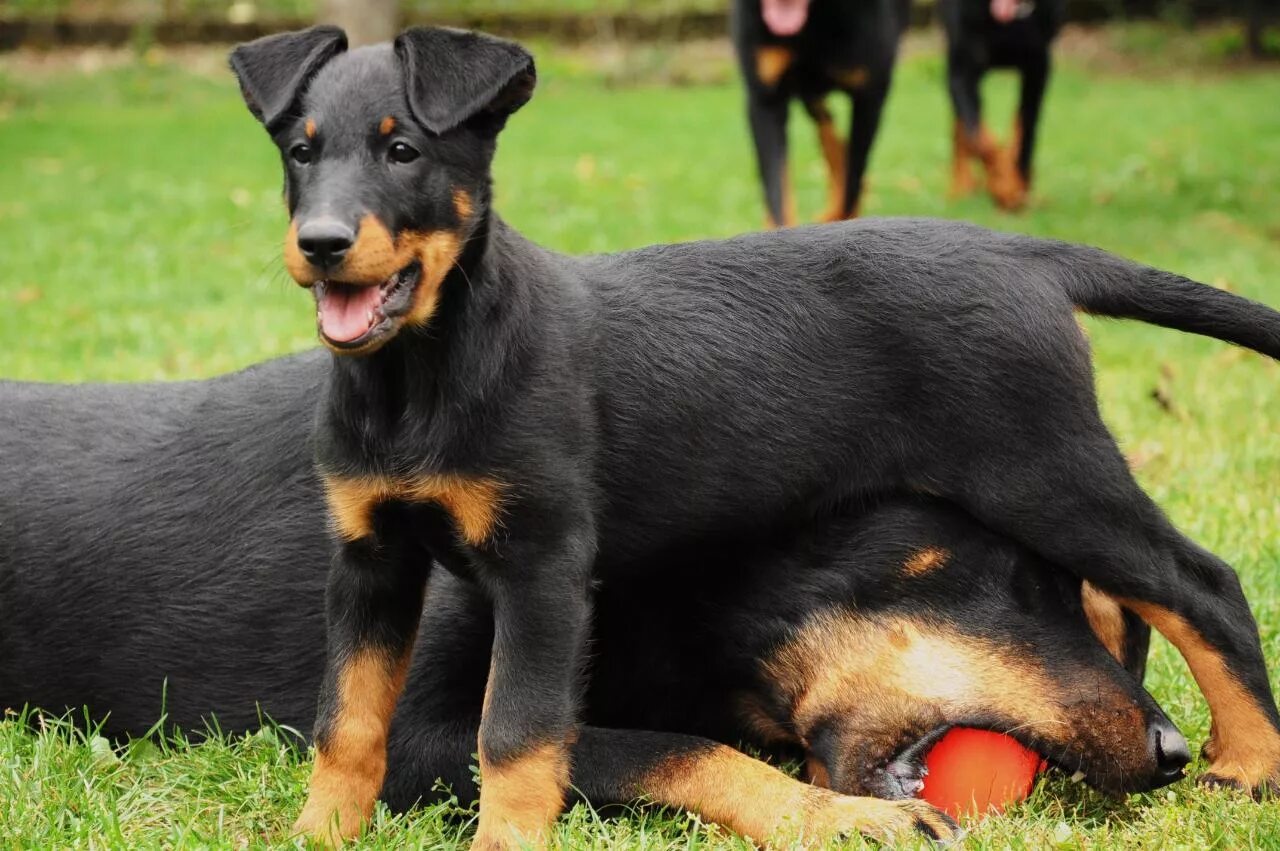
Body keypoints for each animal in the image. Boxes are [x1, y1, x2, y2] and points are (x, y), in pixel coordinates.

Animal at [222, 26, 1280, 849]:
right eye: (299, 153)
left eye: (404, 152)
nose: (320, 244)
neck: (418, 379)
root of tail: (1019, 251)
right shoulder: (371, 555)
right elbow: (350, 718)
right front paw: (319, 832)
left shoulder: (542, 564)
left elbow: (517, 735)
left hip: (1042, 467)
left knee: (1201, 584)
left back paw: (1246, 762)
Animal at [936, 0, 1064, 208]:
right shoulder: (961, 70)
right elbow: (979, 140)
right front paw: (1003, 186)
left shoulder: (1038, 66)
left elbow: (1025, 132)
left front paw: (1017, 185)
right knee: (959, 130)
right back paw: (960, 186)